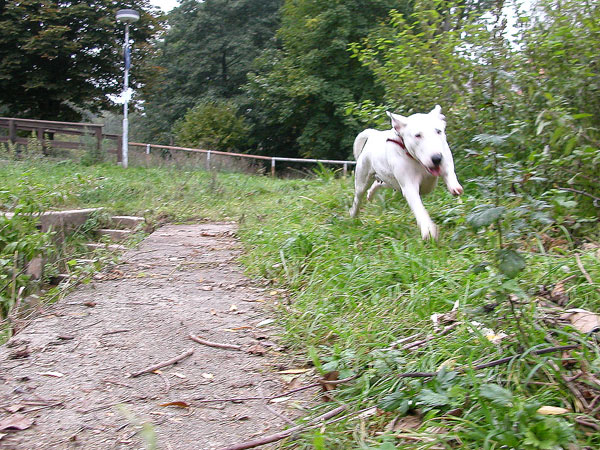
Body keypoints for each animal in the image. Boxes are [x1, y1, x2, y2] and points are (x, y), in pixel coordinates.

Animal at [350, 105, 462, 239]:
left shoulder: (445, 155)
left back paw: (370, 194)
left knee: (380, 183)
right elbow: (418, 207)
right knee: (358, 197)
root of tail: (374, 134)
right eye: (417, 135)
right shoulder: (409, 186)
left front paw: (455, 187)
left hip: (391, 180)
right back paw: (354, 214)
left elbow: (448, 170)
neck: (418, 162)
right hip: (363, 178)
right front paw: (428, 230)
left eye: (438, 131)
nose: (436, 158)